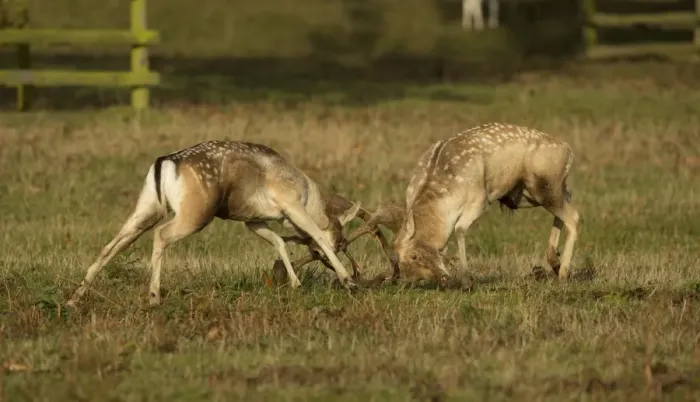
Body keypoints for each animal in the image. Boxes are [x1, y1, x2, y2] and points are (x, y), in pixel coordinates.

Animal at [66, 140, 363, 308]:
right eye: (340, 242)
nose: (352, 274)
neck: (308, 195)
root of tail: (164, 163)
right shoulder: (290, 205)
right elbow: (314, 234)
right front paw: (349, 282)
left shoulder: (252, 220)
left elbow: (278, 241)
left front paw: (296, 284)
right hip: (194, 214)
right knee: (161, 235)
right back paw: (154, 297)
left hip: (146, 208)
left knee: (113, 243)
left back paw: (73, 299)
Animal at [392, 122, 580, 284]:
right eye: (397, 260)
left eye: (414, 256)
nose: (408, 281)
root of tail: (568, 150)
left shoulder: (480, 200)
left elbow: (459, 229)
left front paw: (467, 281)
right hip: (527, 195)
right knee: (568, 199)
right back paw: (555, 263)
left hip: (543, 187)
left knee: (573, 216)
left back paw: (563, 274)